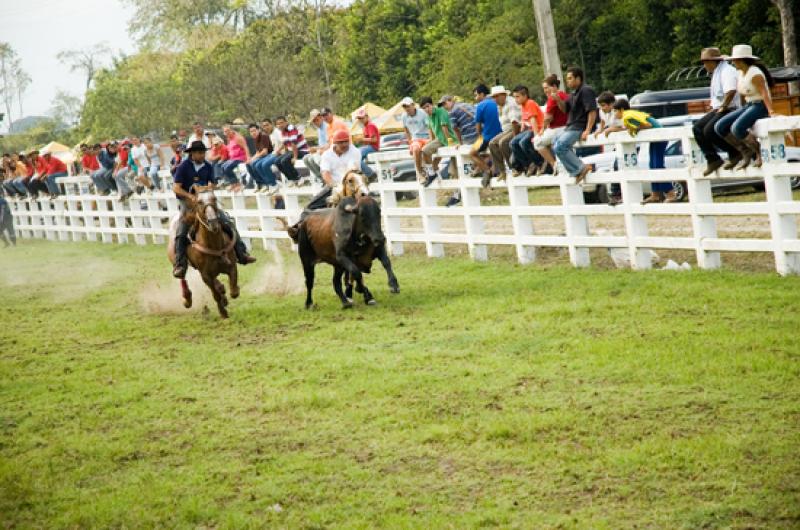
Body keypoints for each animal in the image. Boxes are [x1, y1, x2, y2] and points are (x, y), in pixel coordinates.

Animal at [169, 187, 241, 318]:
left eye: (214, 198)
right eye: (199, 202)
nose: (213, 221)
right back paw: (187, 298)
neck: (214, 245)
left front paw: (228, 294)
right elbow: (215, 295)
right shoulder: (205, 275)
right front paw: (223, 312)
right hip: (175, 260)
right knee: (182, 276)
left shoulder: (232, 266)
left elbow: (234, 291)